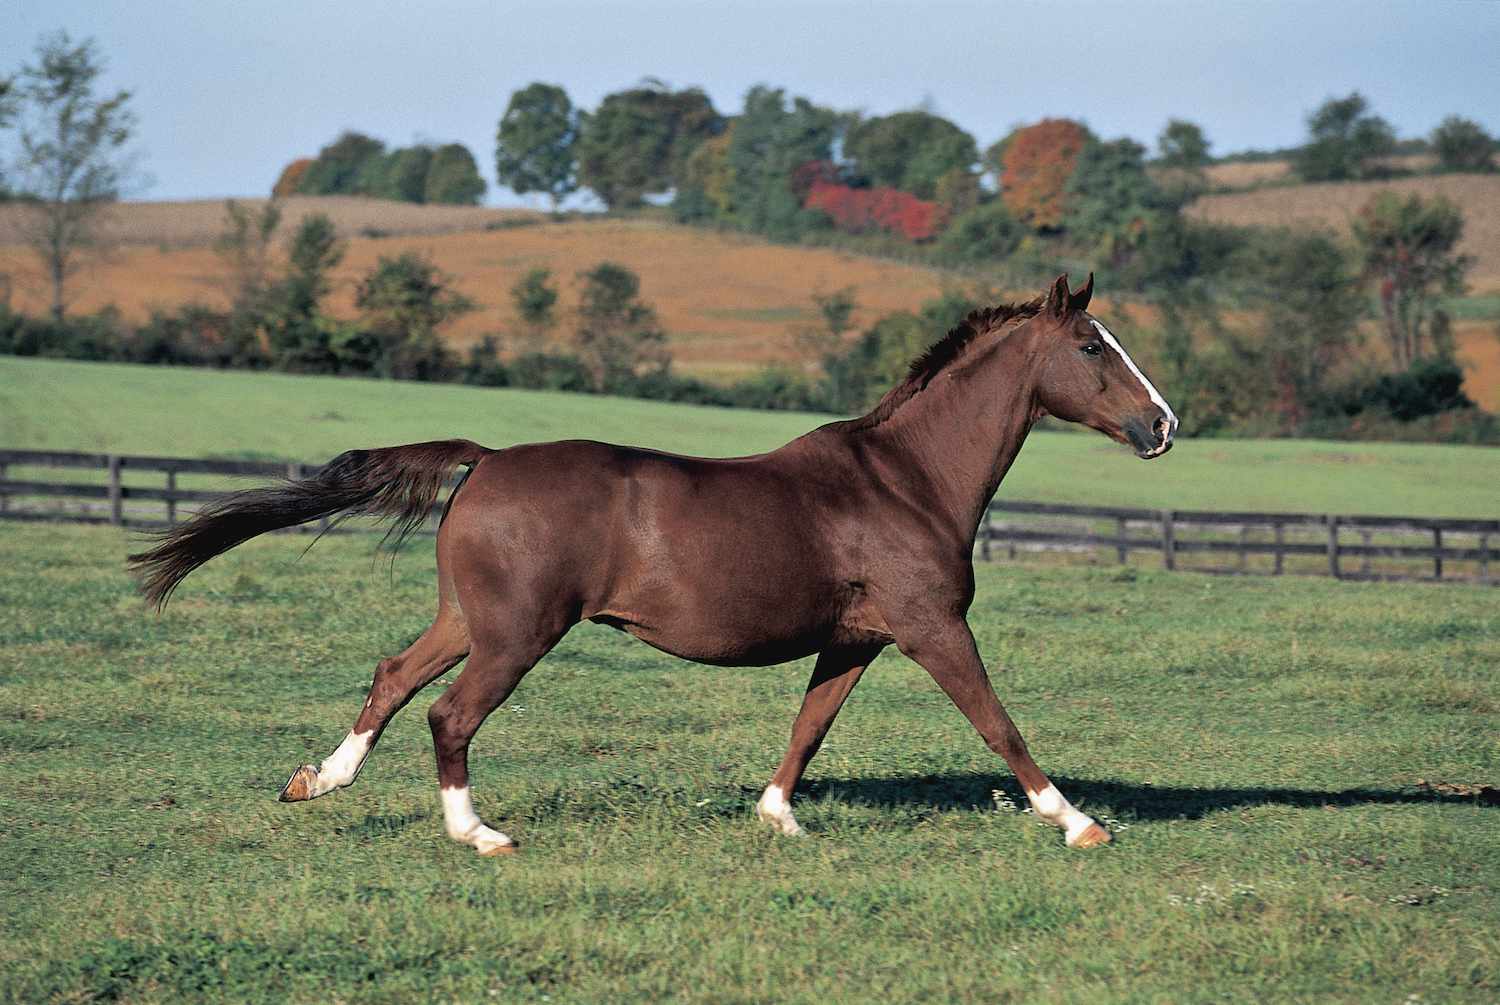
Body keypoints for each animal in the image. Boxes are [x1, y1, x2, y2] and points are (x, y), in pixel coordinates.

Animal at [132, 273, 1170, 858]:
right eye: (1092, 345)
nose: (1162, 425)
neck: (906, 479)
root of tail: (486, 459)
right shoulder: (932, 628)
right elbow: (999, 724)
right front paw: (1079, 822)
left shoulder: (857, 641)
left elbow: (809, 730)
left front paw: (777, 819)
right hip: (518, 634)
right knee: (447, 714)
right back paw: (481, 834)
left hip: (470, 620)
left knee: (393, 679)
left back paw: (318, 780)